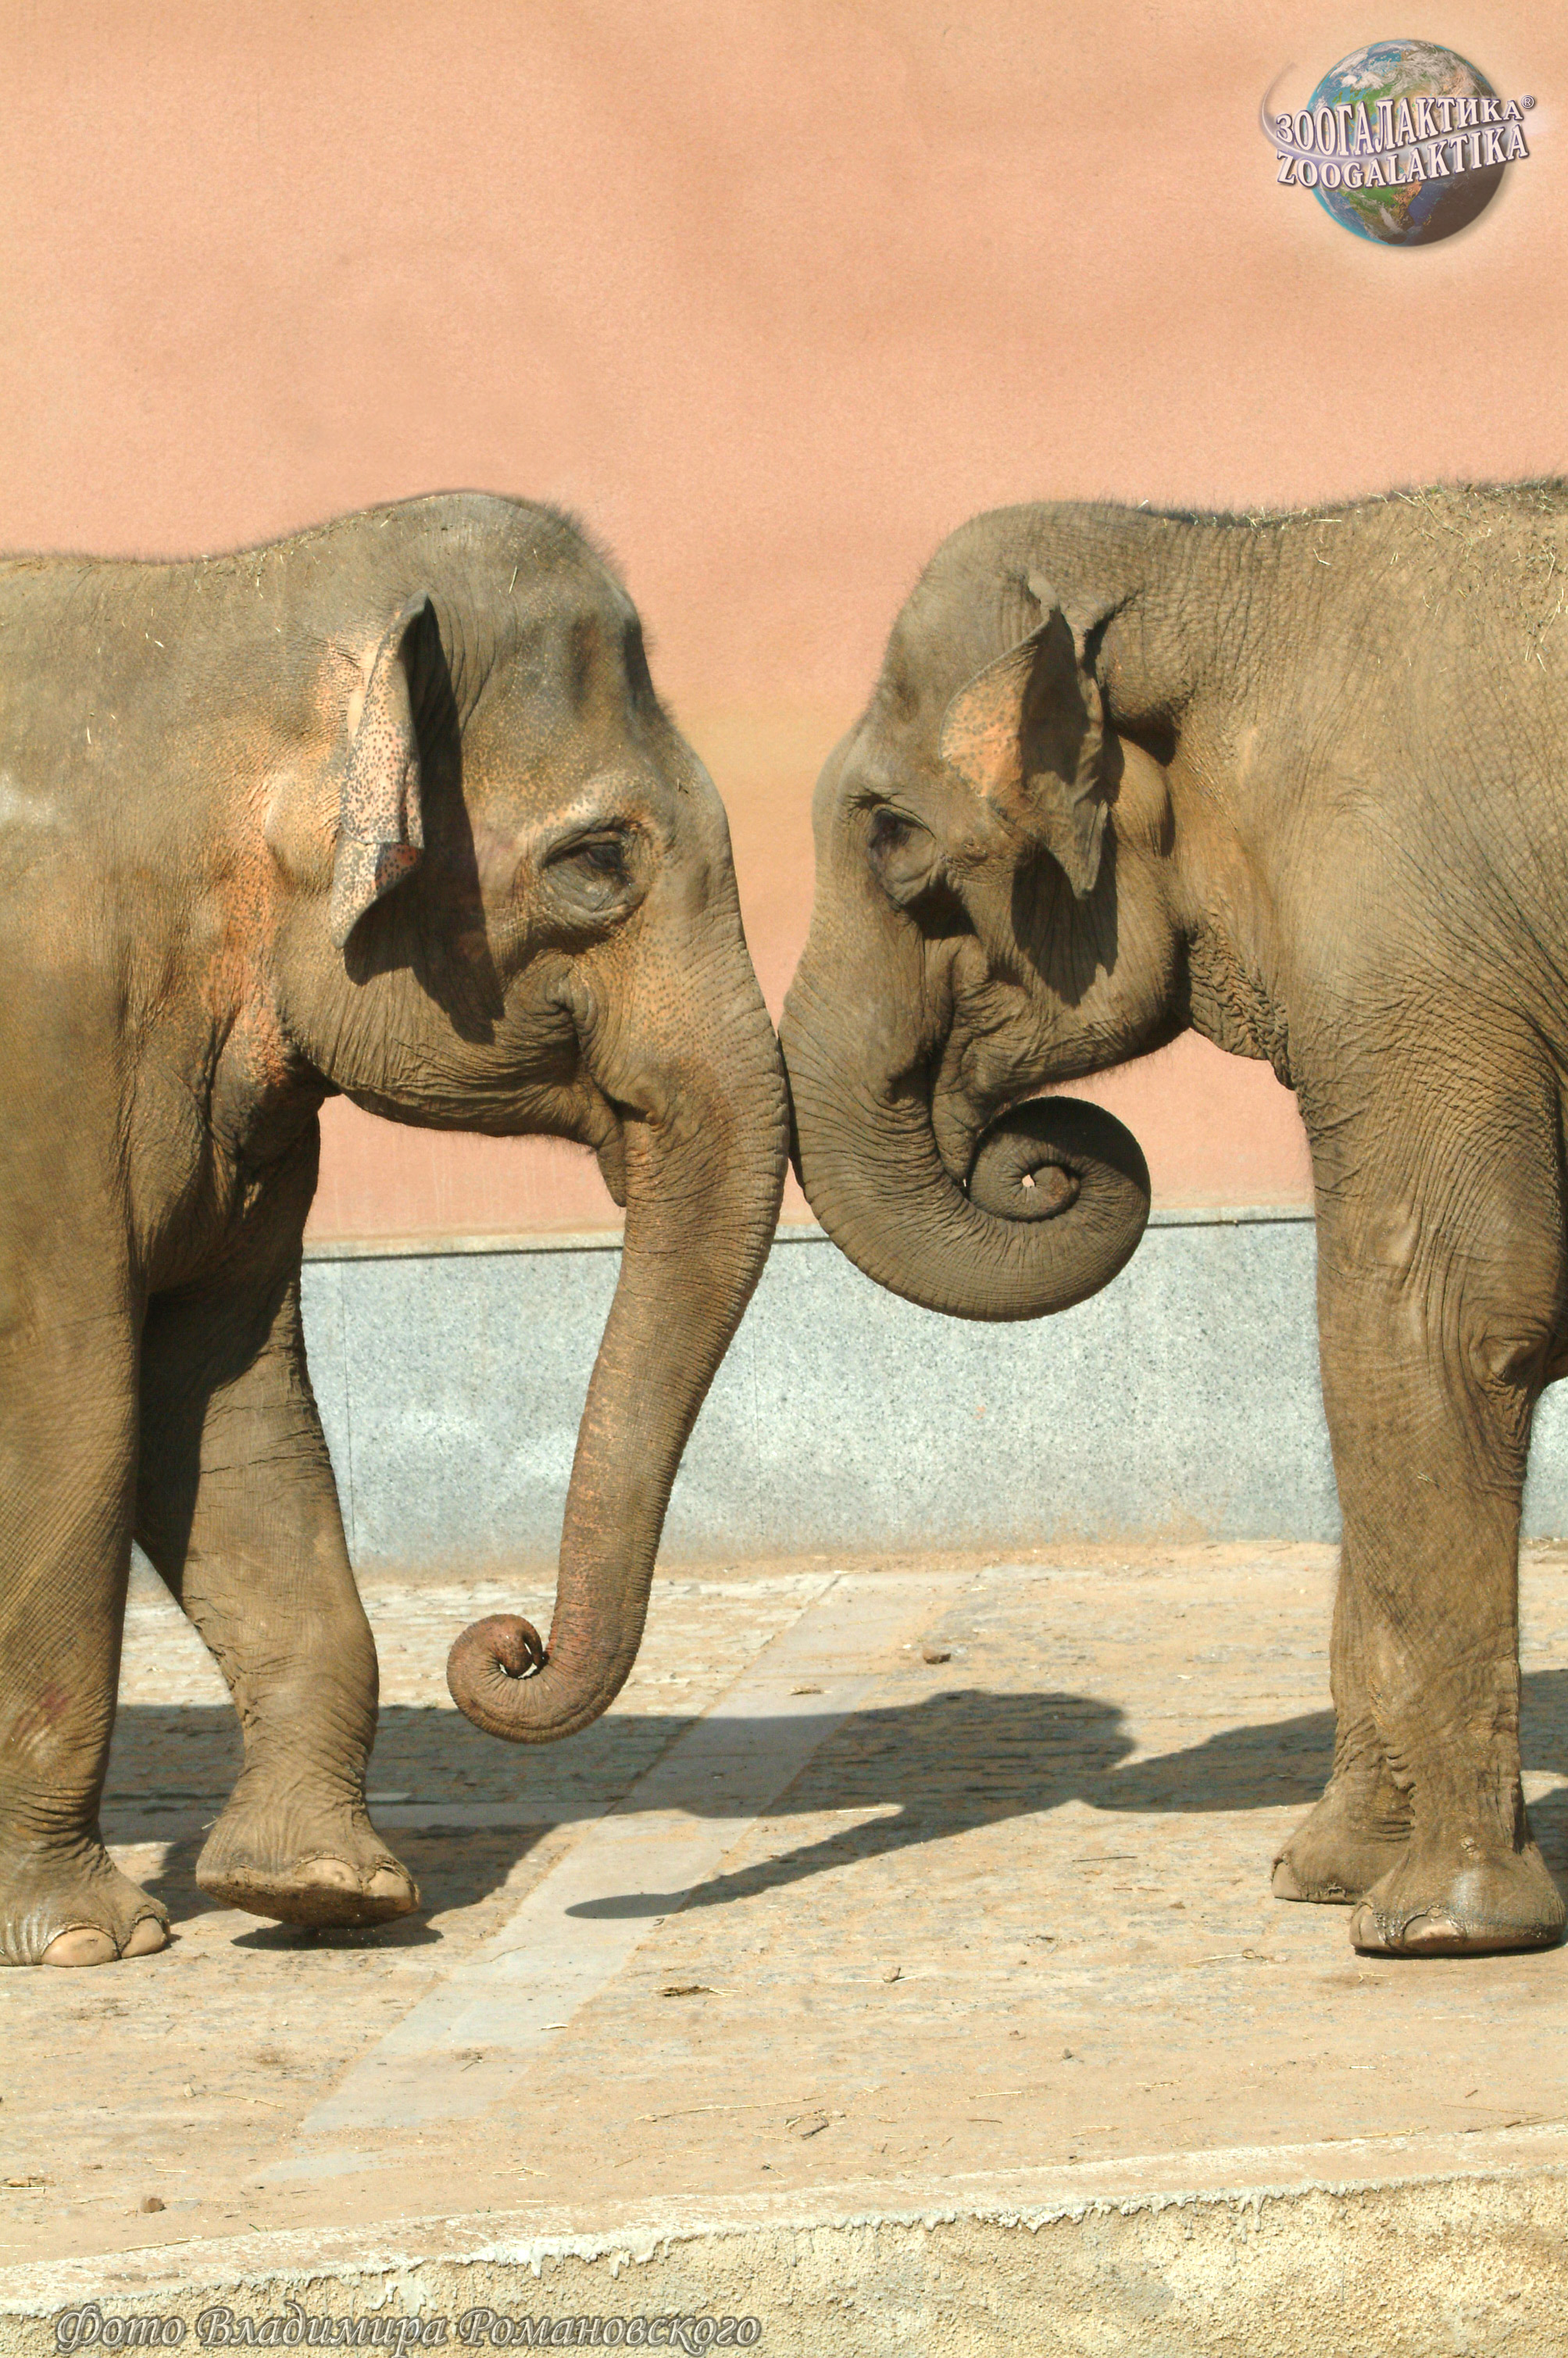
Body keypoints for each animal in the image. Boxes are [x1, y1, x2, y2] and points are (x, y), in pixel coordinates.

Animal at [0, 493, 787, 1967]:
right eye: (600, 859)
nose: (507, 1641)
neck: (217, 609)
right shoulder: (41, 1057)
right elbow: (67, 1416)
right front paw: (85, 1936)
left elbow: (226, 1416)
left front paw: (323, 1889)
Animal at [781, 484, 1568, 1959]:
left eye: (889, 838)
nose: (1032, 1158)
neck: (1228, 561)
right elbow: (1379, 1335)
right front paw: (1321, 1873)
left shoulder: (1409, 928)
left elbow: (1432, 1310)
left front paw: (1433, 1923)